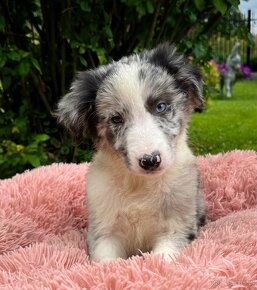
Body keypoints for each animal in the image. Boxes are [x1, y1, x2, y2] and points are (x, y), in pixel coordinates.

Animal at [56, 43, 206, 262]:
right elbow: (107, 262)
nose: (150, 160)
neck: (139, 184)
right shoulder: (104, 232)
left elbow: (163, 259)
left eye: (161, 106)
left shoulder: (178, 229)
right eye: (116, 119)